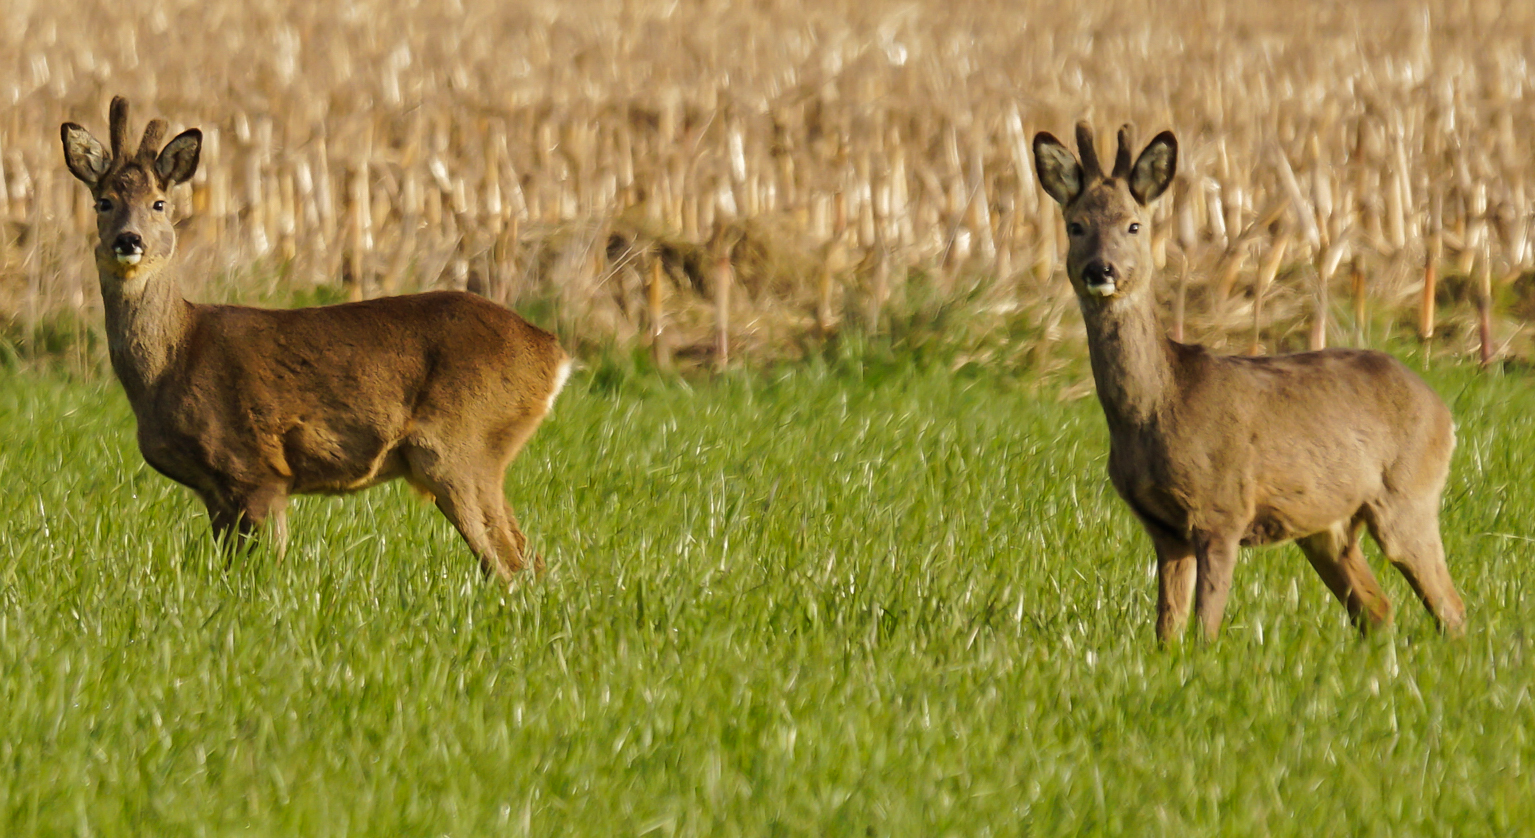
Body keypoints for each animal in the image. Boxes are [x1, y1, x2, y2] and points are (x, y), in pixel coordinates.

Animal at [59, 96, 577, 580]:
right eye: (103, 201)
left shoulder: (256, 467)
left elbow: (264, 568)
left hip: (460, 444)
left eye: (159, 203)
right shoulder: (216, 491)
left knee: (511, 564)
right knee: (528, 561)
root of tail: (553, 354)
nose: (129, 240)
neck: (176, 356)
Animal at [1031, 120, 1461, 635]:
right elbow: (1167, 629)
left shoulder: (1222, 509)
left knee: (1449, 606)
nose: (1101, 269)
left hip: (1408, 494)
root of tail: (1443, 411)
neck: (1159, 407)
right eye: (1076, 226)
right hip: (1327, 527)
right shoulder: (1163, 527)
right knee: (1377, 609)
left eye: (1133, 225)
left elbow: (1206, 627)